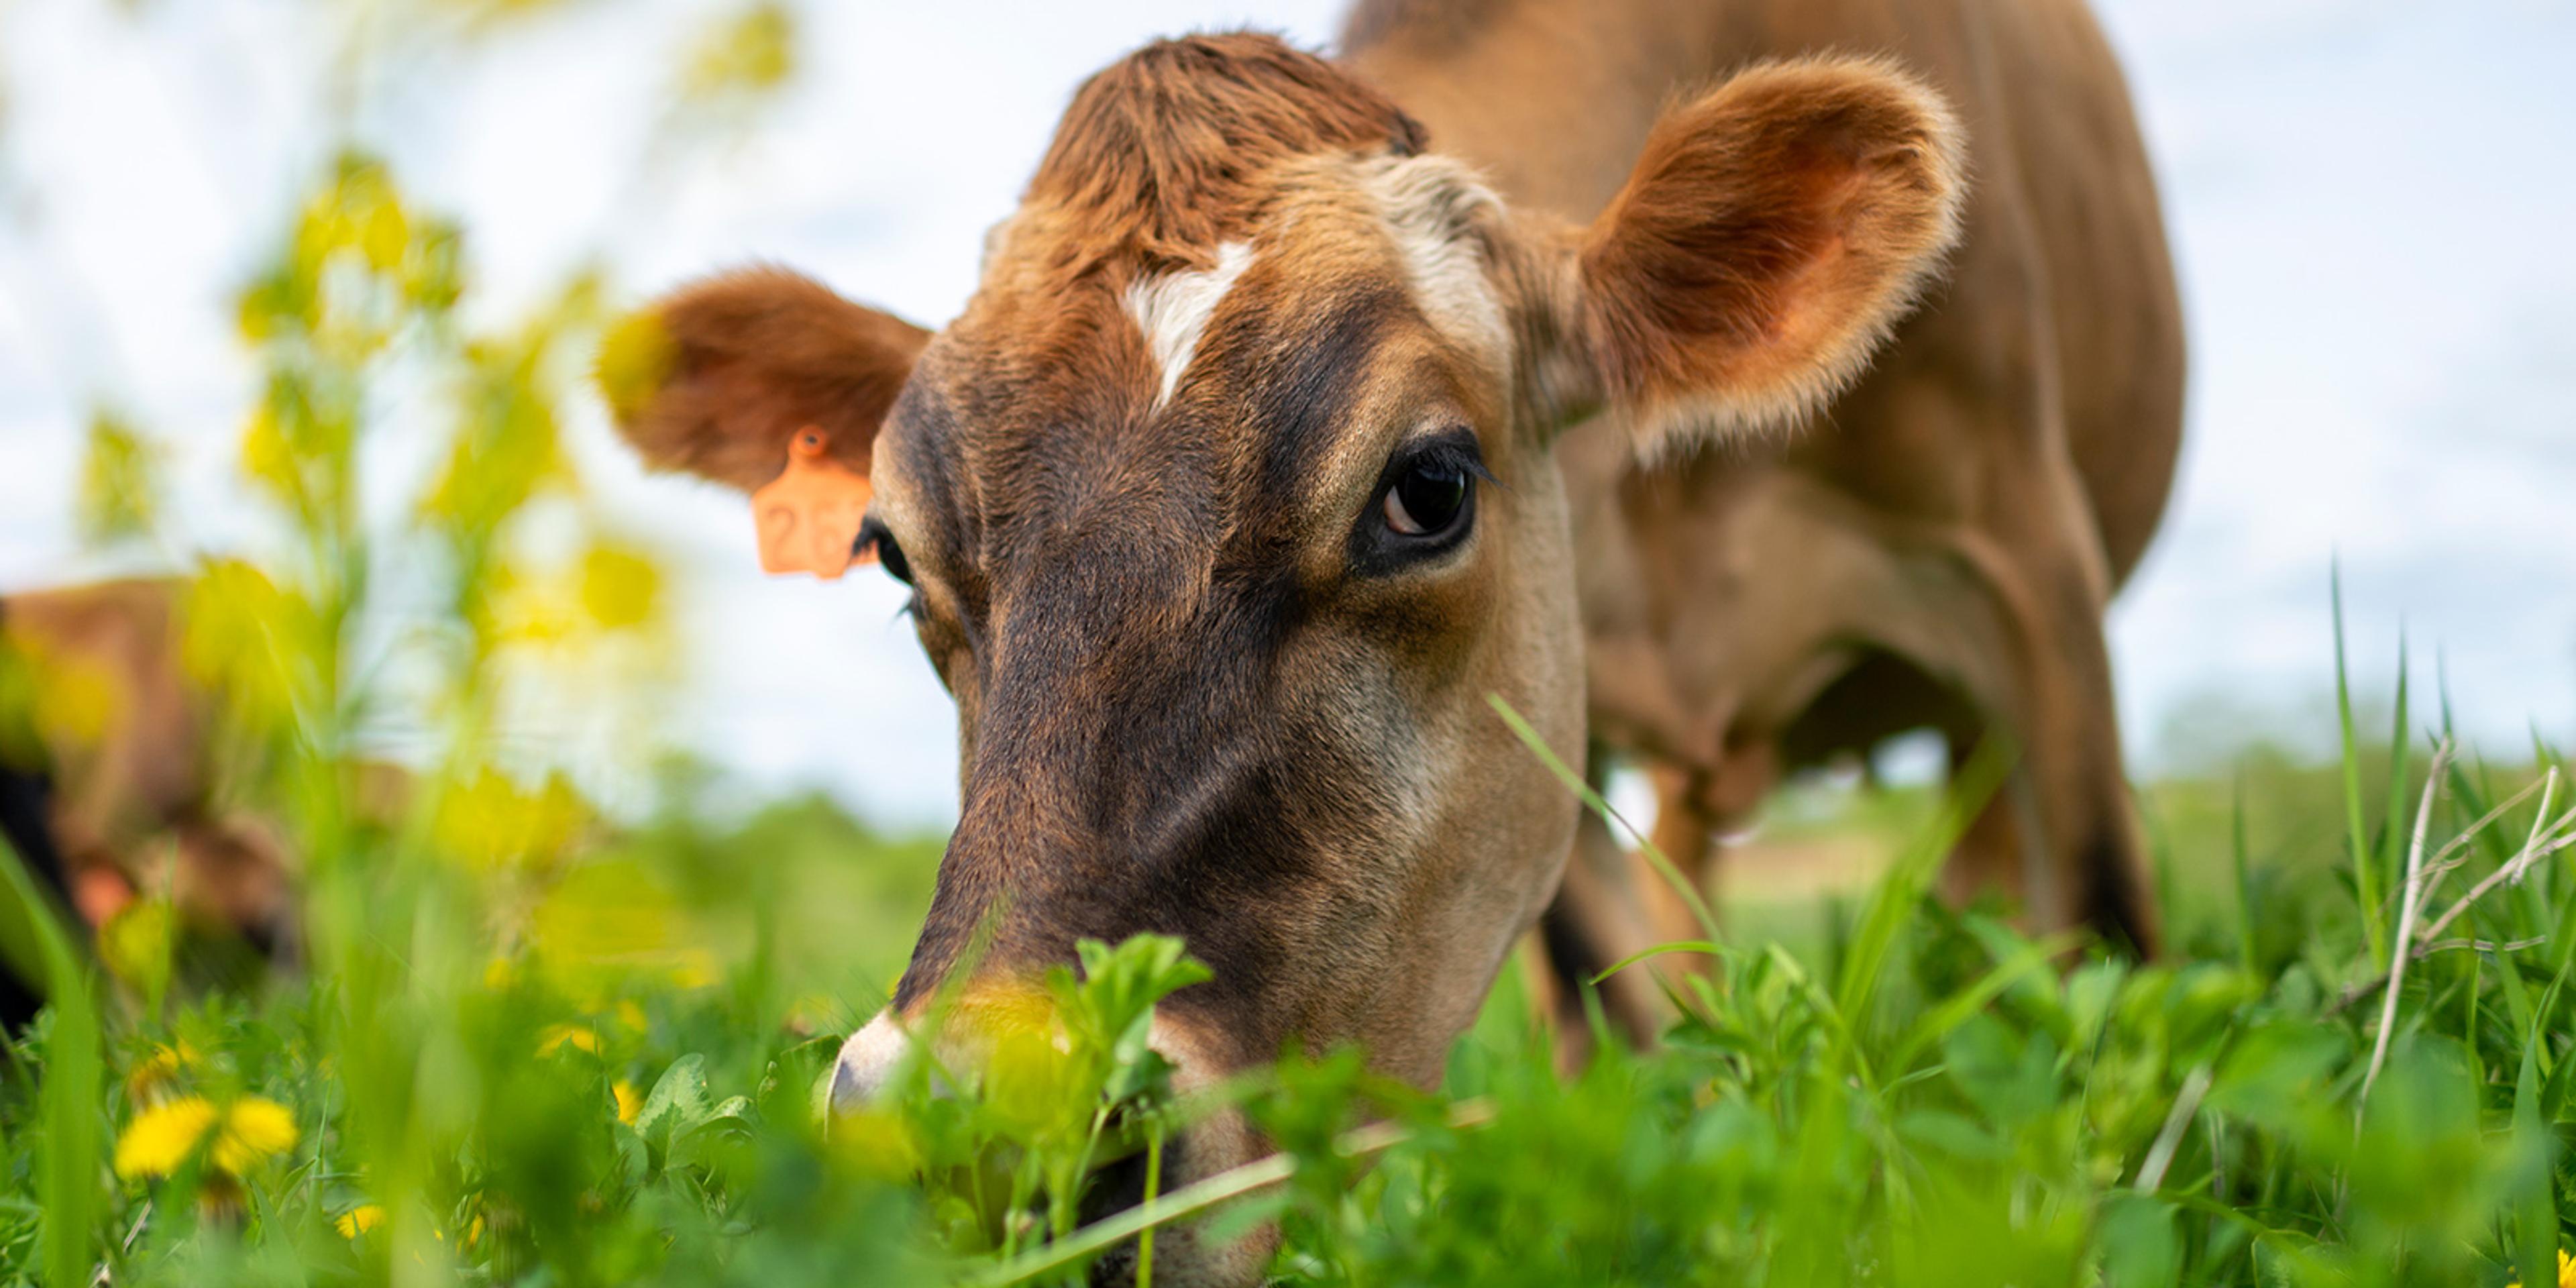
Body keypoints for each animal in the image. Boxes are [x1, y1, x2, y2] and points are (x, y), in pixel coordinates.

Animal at [597, 0, 2174, 1277]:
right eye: (891, 552)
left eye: (1430, 487)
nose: (986, 1137)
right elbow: (1618, 1023)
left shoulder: (2032, 565)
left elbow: (2113, 958)